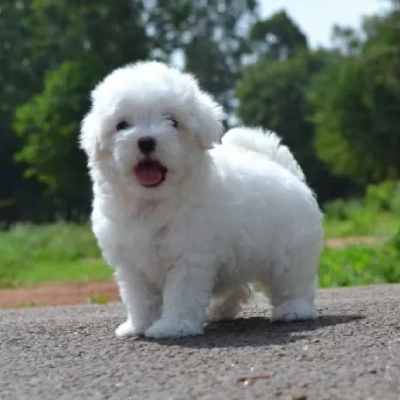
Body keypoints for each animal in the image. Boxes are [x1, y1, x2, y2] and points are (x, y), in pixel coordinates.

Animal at [79, 61, 324, 340]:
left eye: (172, 122)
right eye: (122, 125)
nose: (146, 141)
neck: (153, 201)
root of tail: (288, 172)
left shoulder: (189, 257)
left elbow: (181, 294)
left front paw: (173, 326)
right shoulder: (131, 263)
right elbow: (140, 298)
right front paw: (138, 325)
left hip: (291, 252)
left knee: (293, 282)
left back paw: (293, 310)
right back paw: (221, 310)